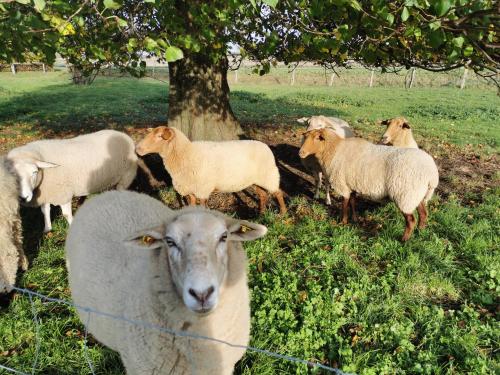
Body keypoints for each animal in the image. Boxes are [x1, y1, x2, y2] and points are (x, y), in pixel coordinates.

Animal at [6, 131, 139, 234]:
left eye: (34, 172)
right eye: (12, 175)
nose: (24, 197)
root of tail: (123, 134)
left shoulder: (63, 193)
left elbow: (66, 215)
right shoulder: (47, 192)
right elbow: (45, 210)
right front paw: (47, 228)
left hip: (126, 177)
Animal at [135, 126, 288, 214]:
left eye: (159, 136)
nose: (137, 148)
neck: (186, 153)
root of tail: (265, 146)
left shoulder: (202, 188)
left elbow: (202, 206)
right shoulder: (191, 188)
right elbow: (192, 204)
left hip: (269, 175)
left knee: (278, 193)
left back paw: (283, 214)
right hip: (257, 180)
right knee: (263, 195)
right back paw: (261, 214)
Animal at [298, 129, 440, 241]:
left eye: (317, 138)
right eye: (306, 136)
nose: (301, 153)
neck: (333, 150)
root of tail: (432, 174)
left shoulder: (343, 184)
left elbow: (344, 204)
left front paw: (343, 222)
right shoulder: (352, 184)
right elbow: (352, 202)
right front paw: (354, 219)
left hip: (404, 194)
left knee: (411, 220)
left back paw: (404, 240)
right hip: (415, 194)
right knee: (423, 214)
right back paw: (420, 232)